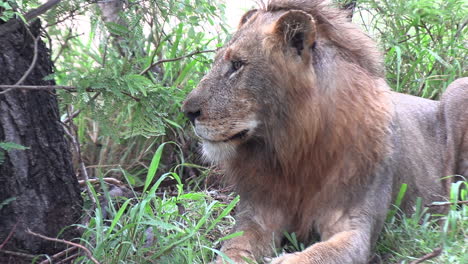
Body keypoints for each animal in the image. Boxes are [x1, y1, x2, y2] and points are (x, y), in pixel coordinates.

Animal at [182, 0, 464, 264]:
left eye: (237, 65)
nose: (187, 112)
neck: (292, 148)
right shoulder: (256, 217)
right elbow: (232, 250)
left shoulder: (355, 227)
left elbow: (317, 254)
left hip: (457, 89)